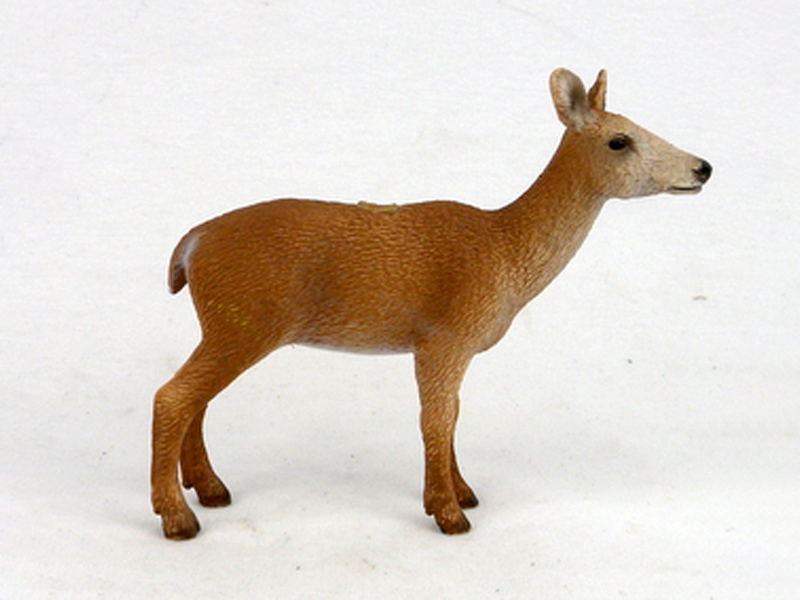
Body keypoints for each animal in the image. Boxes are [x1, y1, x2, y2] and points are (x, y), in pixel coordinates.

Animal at [151, 68, 712, 540]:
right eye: (620, 140)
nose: (703, 167)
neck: (506, 250)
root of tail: (190, 245)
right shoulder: (444, 337)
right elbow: (436, 419)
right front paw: (449, 514)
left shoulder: (451, 347)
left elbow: (454, 415)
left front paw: (464, 492)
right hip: (244, 318)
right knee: (172, 396)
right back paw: (178, 517)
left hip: (225, 323)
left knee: (194, 399)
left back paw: (210, 490)